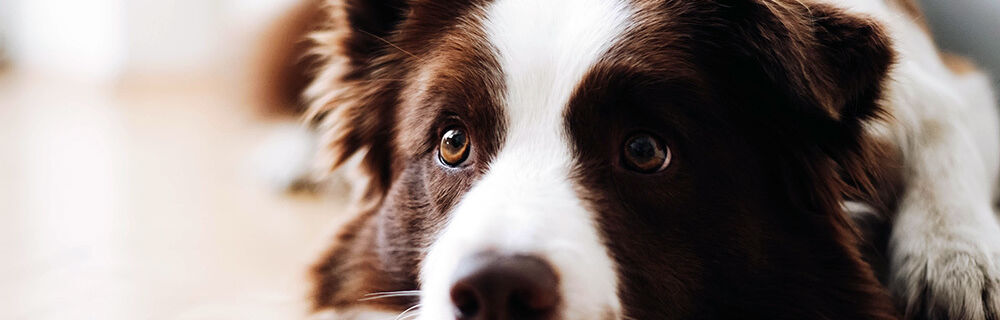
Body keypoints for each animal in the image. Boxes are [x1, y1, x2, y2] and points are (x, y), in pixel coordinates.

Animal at [266, 0, 1000, 318]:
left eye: (645, 150)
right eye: (451, 143)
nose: (497, 290)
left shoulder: (943, 76)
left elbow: (947, 118)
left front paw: (957, 259)